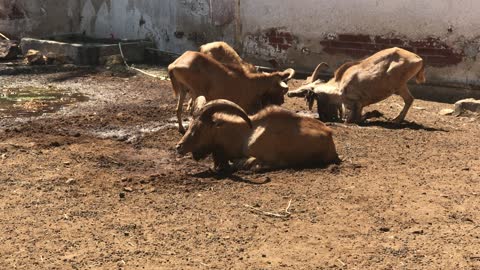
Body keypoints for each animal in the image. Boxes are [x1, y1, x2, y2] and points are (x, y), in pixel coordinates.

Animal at [286, 47, 426, 123]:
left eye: (304, 90)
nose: (289, 93)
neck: (338, 88)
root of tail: (419, 59)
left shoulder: (355, 103)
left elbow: (352, 119)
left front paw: (374, 114)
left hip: (398, 86)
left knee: (409, 99)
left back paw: (396, 119)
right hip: (401, 86)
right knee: (409, 99)